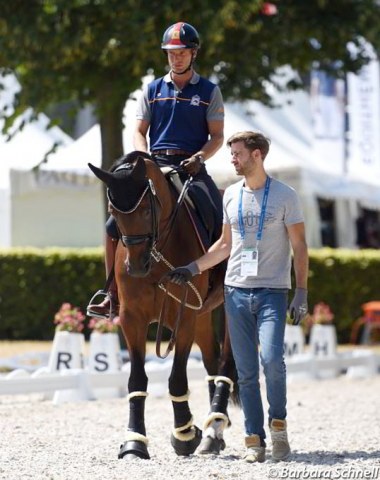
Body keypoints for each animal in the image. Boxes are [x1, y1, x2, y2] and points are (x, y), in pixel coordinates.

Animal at [88, 152, 239, 460]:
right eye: (113, 212)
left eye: (147, 209)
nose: (136, 266)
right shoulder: (132, 318)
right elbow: (136, 379)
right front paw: (134, 443)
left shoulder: (185, 316)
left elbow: (177, 378)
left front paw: (184, 434)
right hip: (203, 315)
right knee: (212, 359)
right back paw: (212, 431)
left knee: (226, 364)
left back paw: (213, 430)